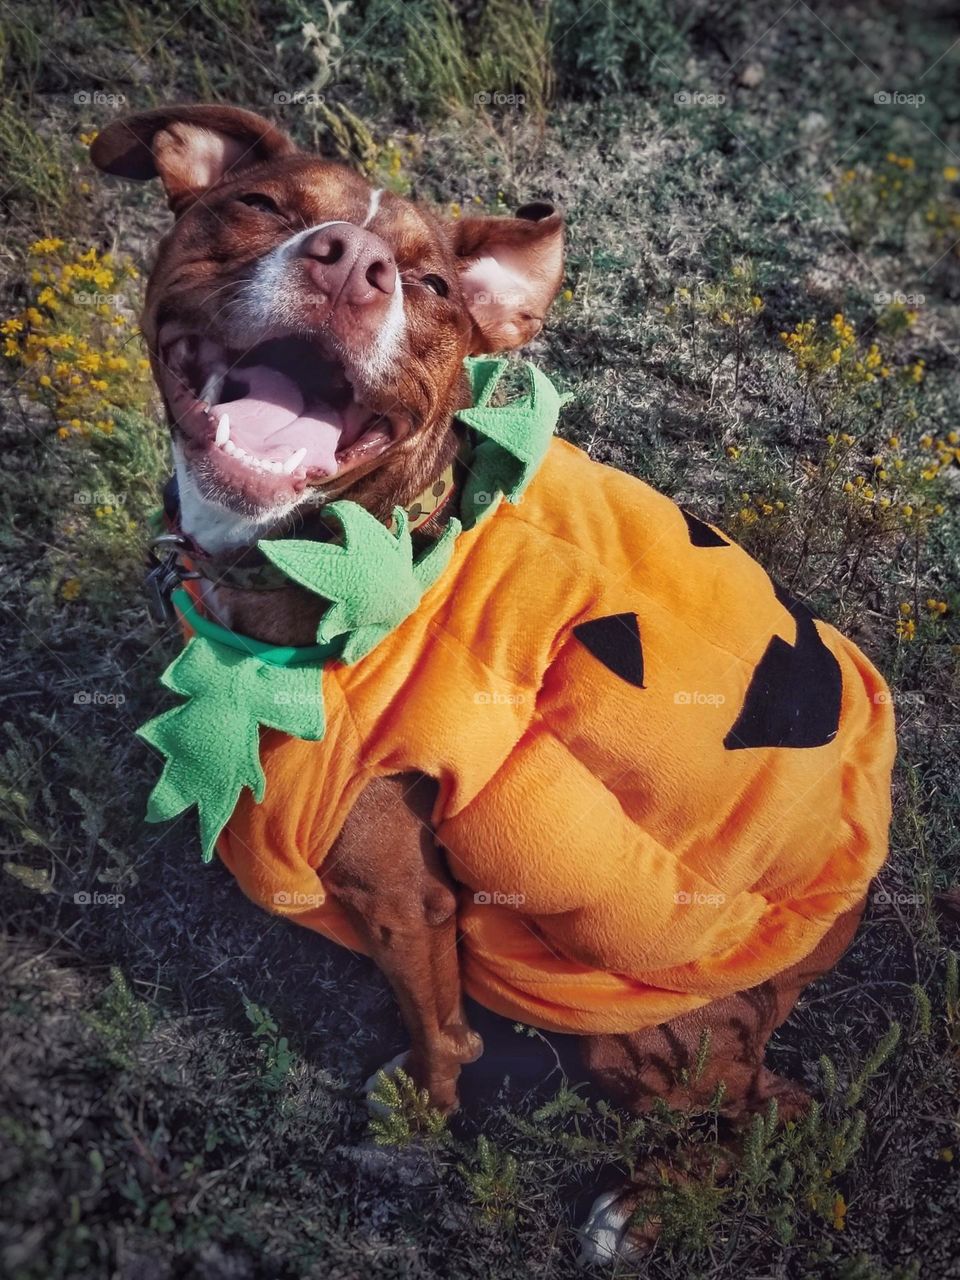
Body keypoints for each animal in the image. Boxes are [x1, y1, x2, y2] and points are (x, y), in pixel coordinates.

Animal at [96, 102, 880, 1259]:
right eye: (263, 205)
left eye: (428, 285)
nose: (351, 263)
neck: (350, 547)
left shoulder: (404, 893)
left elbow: (440, 1031)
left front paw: (417, 1118)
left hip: (639, 1026)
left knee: (771, 1105)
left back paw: (643, 1206)